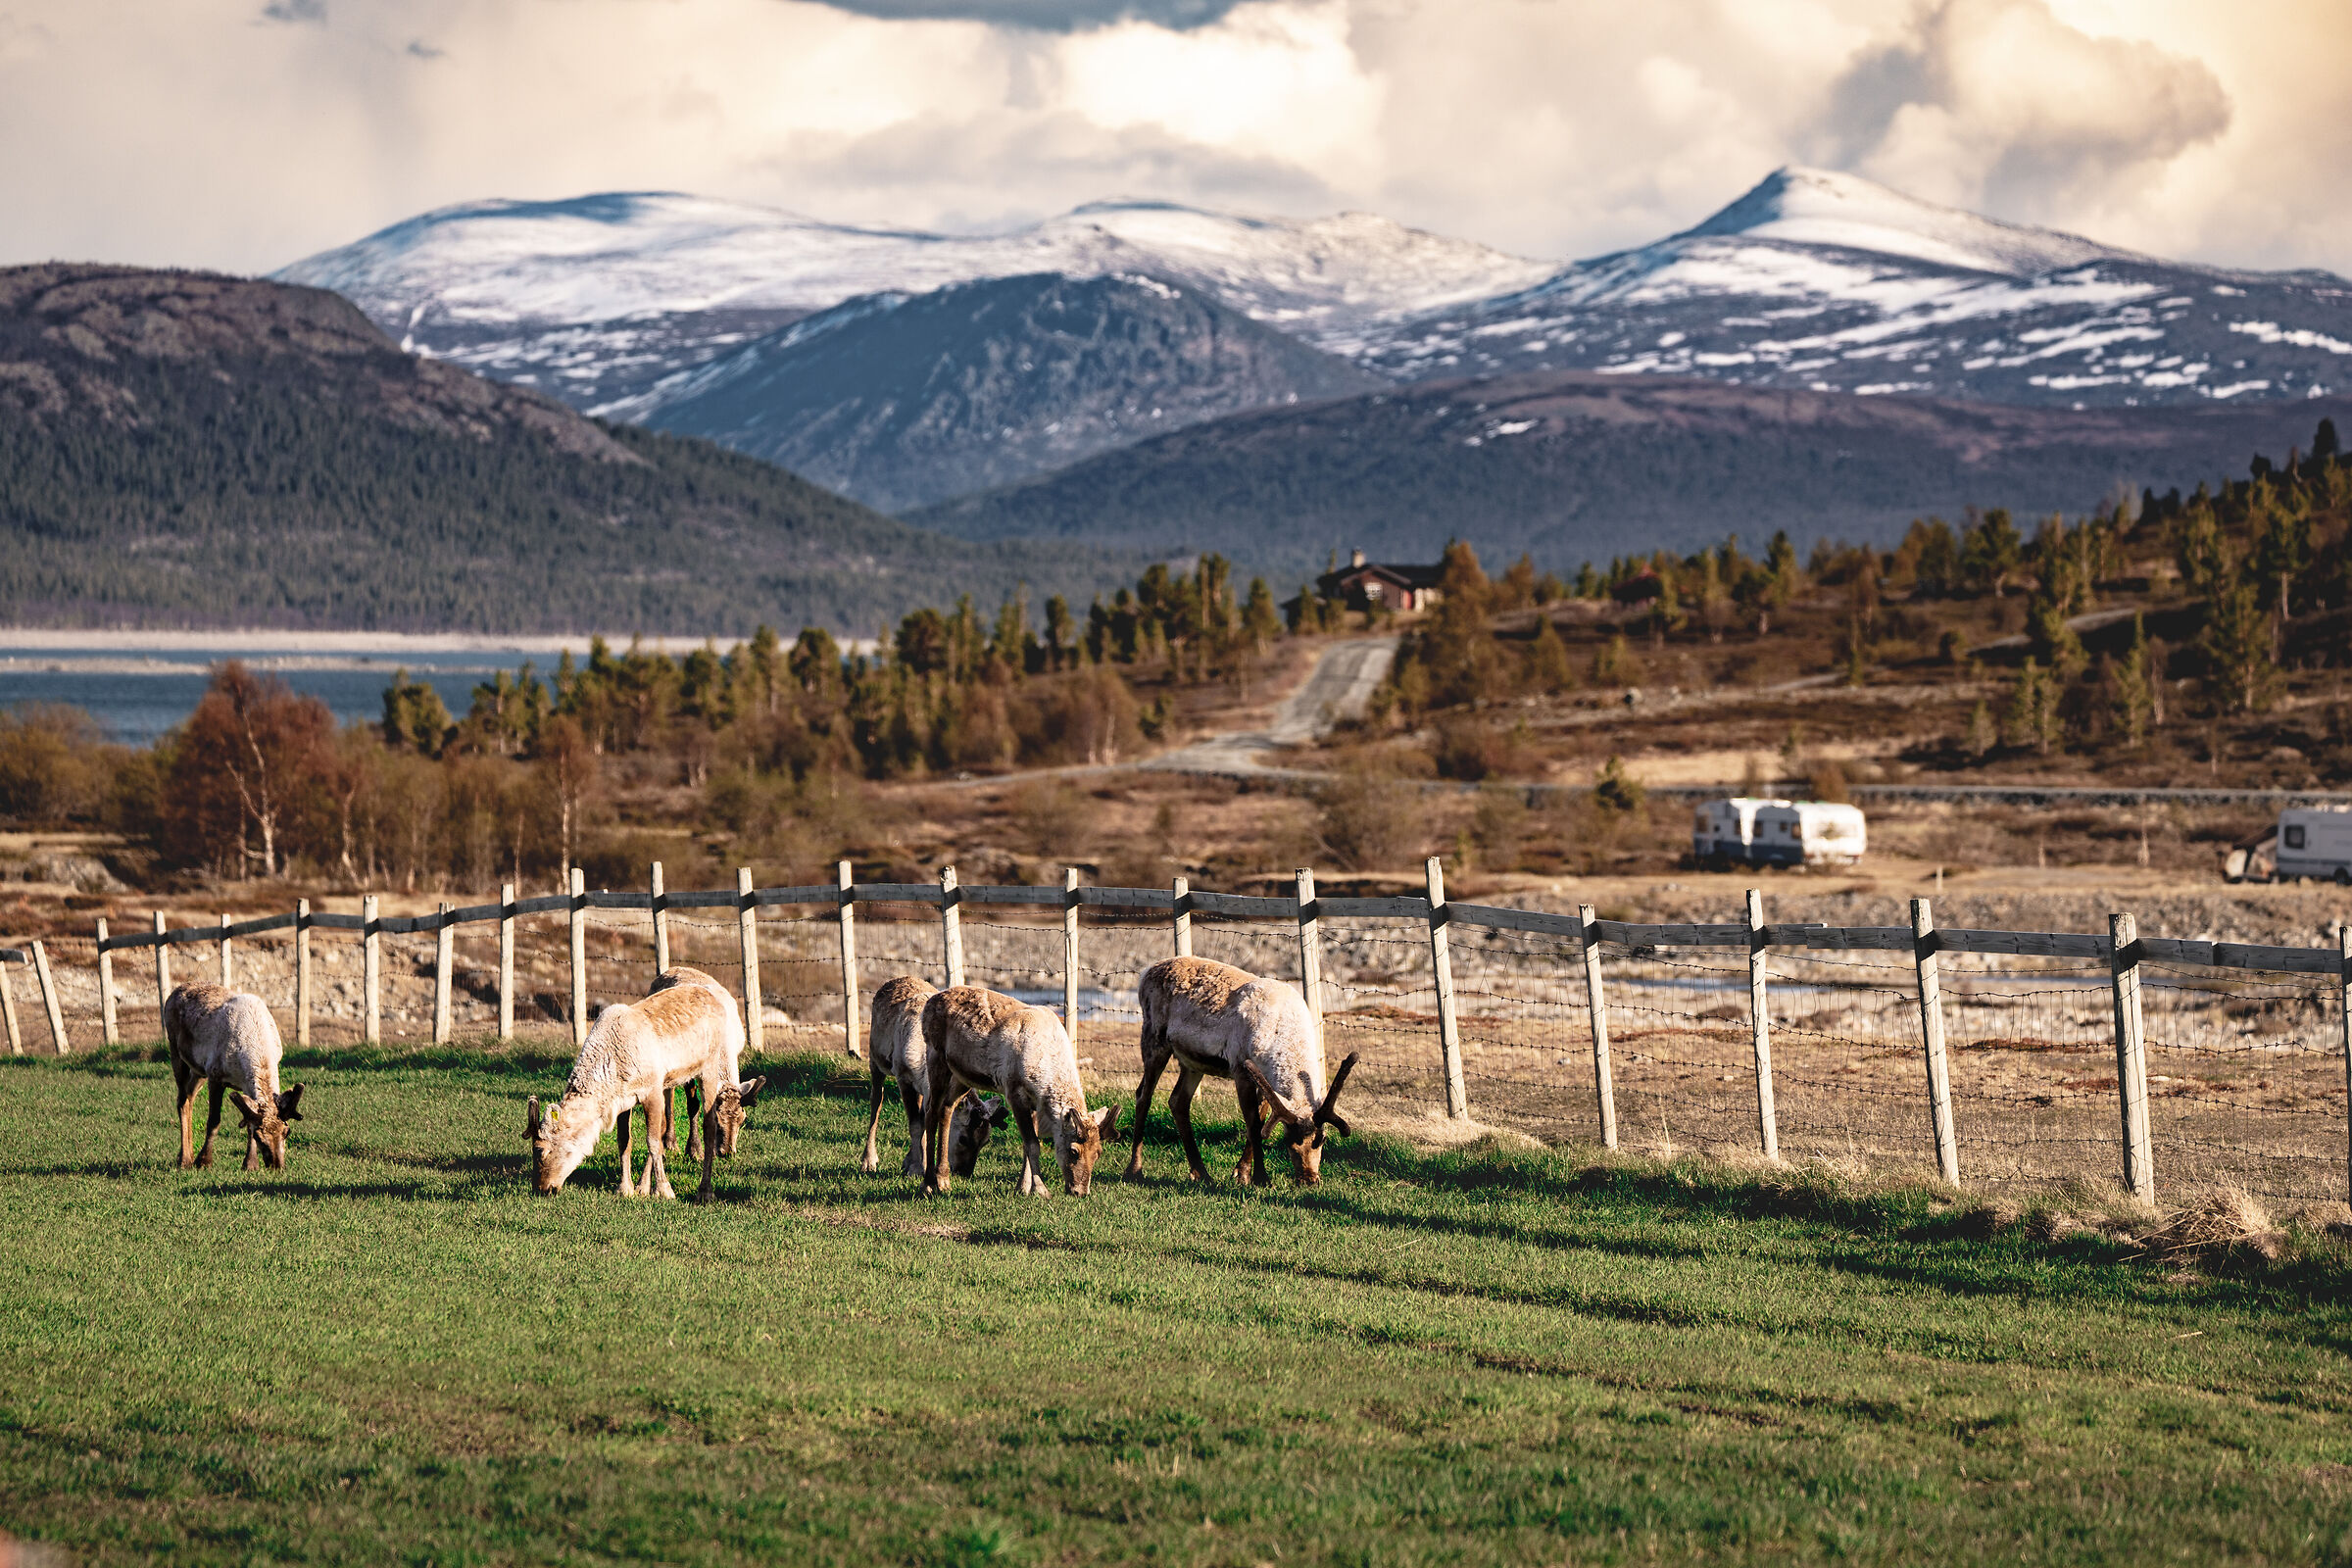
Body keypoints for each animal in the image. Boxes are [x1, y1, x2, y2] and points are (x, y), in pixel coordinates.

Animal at [164, 983, 305, 1171]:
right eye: (260, 1137)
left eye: (286, 1132)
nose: (276, 1165)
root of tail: (175, 991)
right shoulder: (215, 1075)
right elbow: (214, 1121)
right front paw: (204, 1161)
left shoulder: (245, 1085)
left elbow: (249, 1122)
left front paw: (250, 1164)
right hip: (176, 1053)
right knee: (182, 1100)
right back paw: (185, 1159)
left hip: (198, 1070)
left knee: (189, 1097)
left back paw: (186, 1155)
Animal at [525, 967, 762, 1202]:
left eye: (540, 1150)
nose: (542, 1188)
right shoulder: (623, 1100)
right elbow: (624, 1140)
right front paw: (626, 1188)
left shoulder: (652, 1091)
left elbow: (653, 1141)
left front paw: (665, 1190)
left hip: (710, 1070)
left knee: (708, 1125)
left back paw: (704, 1189)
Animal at [864, 975, 1005, 1178]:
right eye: (963, 1139)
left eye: (986, 1141)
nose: (964, 1173)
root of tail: (897, 979)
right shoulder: (903, 1078)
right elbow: (915, 1125)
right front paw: (916, 1168)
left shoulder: (926, 1085)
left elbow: (924, 1121)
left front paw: (914, 1162)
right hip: (875, 1059)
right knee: (876, 1102)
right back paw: (869, 1160)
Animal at [919, 985, 1116, 1197]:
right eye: (1074, 1151)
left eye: (1098, 1153)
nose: (1080, 1191)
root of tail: (930, 1002)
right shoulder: (1014, 1091)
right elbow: (1033, 1144)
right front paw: (1040, 1190)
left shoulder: (1034, 1101)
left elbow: (1027, 1144)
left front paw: (1022, 1187)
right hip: (936, 1057)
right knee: (931, 1112)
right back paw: (928, 1183)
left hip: (961, 1075)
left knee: (946, 1109)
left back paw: (943, 1180)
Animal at [1125, 956, 1359, 1187]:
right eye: (1288, 1140)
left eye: (1322, 1139)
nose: (1309, 1179)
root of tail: (1147, 971)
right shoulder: (1241, 1069)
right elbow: (1254, 1125)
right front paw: (1259, 1178)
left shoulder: (1267, 1083)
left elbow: (1261, 1123)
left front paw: (1241, 1172)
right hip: (1154, 1039)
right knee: (1143, 1095)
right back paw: (1135, 1169)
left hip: (1192, 1062)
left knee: (1177, 1101)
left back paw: (1201, 1173)